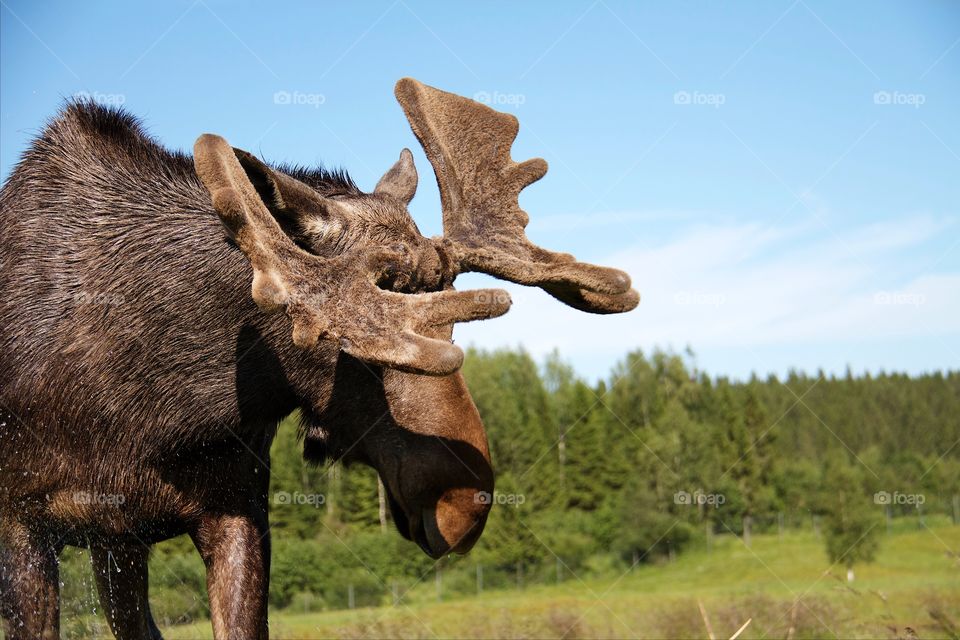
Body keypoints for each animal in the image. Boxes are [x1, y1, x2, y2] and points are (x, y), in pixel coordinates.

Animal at [0, 78, 638, 639]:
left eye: (450, 314)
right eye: (352, 345)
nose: (463, 504)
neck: (152, 413)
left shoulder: (233, 509)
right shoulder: (23, 523)